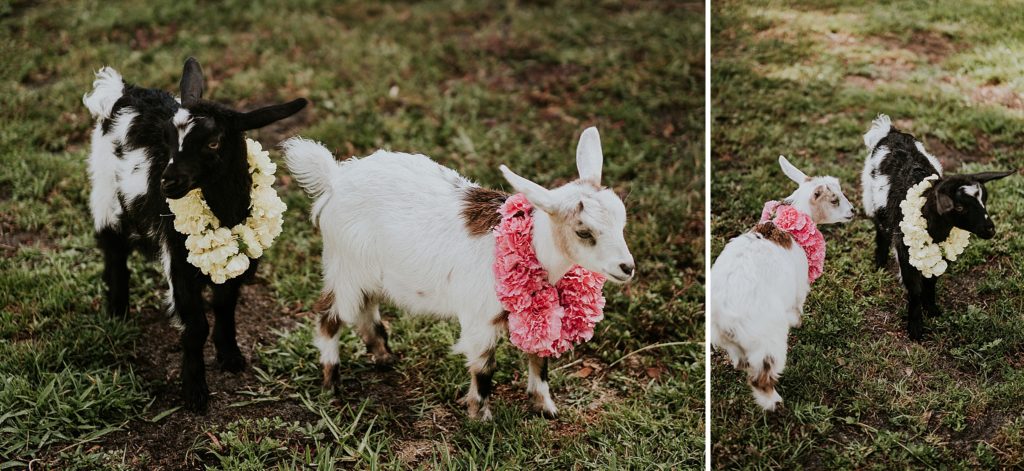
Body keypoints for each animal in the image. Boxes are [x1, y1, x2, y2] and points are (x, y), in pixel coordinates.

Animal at [82, 56, 307, 411]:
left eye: (213, 142)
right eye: (167, 137)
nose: (168, 183)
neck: (226, 212)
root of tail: (122, 91)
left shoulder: (240, 259)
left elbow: (225, 306)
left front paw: (230, 356)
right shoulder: (180, 265)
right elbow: (196, 326)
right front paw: (195, 390)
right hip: (104, 190)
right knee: (113, 247)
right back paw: (117, 311)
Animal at [282, 125, 630, 419]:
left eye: (622, 221)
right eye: (584, 232)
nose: (627, 267)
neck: (533, 248)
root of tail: (335, 176)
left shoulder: (536, 312)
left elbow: (538, 358)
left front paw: (545, 406)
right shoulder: (481, 318)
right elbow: (484, 367)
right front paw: (480, 415)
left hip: (370, 271)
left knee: (367, 309)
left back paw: (384, 357)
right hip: (345, 265)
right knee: (329, 316)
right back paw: (331, 384)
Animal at [708, 156, 851, 409]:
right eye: (834, 200)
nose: (853, 211)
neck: (789, 226)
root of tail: (724, 318)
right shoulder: (799, 287)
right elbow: (797, 308)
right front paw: (798, 323)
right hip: (768, 340)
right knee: (761, 378)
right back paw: (774, 403)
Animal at [864, 115, 1015, 339]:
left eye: (985, 199)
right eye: (959, 206)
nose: (990, 229)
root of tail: (891, 132)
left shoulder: (939, 250)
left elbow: (932, 280)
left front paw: (932, 309)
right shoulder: (905, 250)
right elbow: (915, 289)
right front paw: (915, 328)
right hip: (871, 198)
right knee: (881, 230)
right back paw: (879, 264)